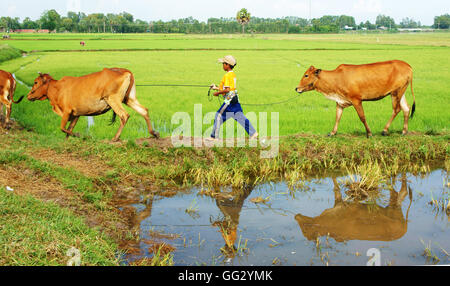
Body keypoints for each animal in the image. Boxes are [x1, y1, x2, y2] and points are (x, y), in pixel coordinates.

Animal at [26, 68, 160, 142]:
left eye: (35, 82)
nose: (28, 96)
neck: (57, 88)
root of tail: (125, 71)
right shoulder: (76, 114)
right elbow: (69, 130)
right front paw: (67, 141)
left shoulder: (67, 111)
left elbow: (63, 128)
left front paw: (83, 136)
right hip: (128, 99)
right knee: (144, 110)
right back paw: (154, 133)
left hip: (112, 99)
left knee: (124, 115)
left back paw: (115, 138)